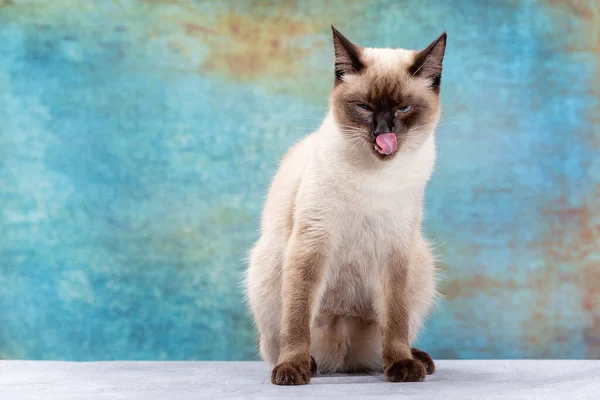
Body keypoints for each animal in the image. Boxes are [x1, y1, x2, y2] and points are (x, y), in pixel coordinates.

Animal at [244, 26, 446, 386]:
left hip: (420, 261)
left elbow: (396, 317)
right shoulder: (312, 243)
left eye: (404, 108)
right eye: (363, 107)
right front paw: (293, 369)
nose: (383, 131)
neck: (376, 178)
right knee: (280, 340)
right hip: (266, 263)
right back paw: (306, 364)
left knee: (391, 338)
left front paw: (401, 366)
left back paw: (414, 359)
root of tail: (342, 361)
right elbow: (297, 317)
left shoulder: (396, 249)